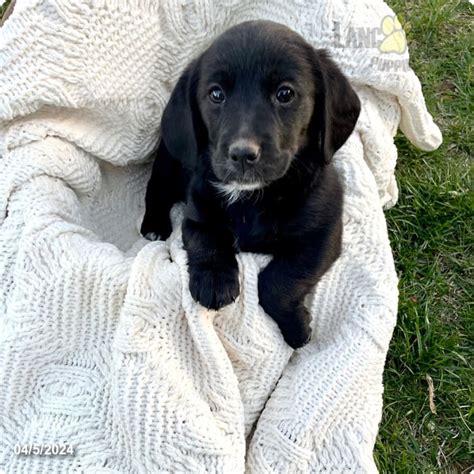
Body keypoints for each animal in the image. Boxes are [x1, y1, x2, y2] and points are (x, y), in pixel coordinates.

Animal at [141, 20, 360, 346]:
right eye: (216, 94)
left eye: (285, 93)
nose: (243, 154)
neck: (253, 196)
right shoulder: (196, 215)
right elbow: (206, 241)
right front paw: (214, 281)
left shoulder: (324, 233)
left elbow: (279, 280)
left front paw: (296, 329)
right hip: (167, 164)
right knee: (154, 191)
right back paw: (154, 225)